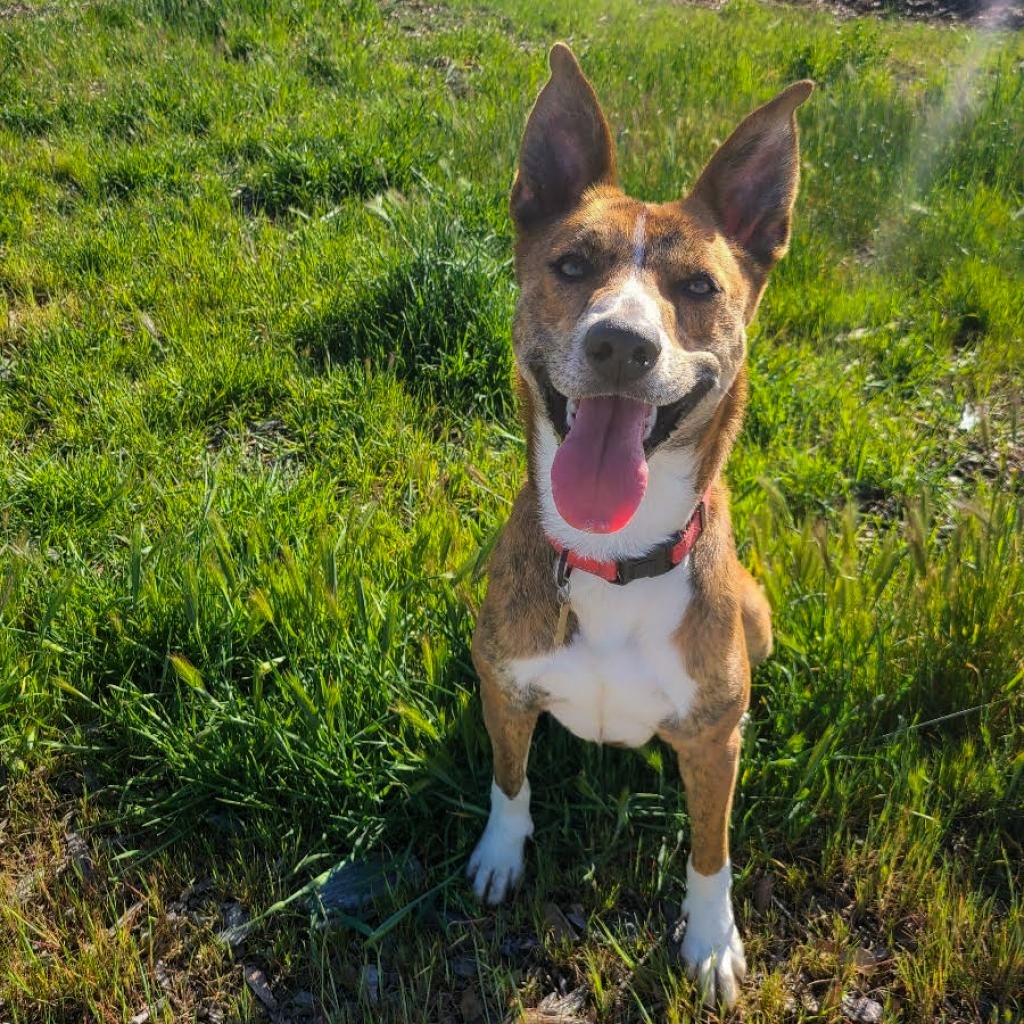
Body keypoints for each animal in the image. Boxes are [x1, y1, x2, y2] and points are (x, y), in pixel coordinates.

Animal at [468, 44, 811, 1003]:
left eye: (698, 286)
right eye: (572, 265)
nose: (623, 344)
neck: (613, 557)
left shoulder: (710, 743)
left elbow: (712, 848)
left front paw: (711, 940)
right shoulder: (503, 687)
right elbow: (510, 780)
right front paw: (501, 855)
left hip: (759, 618)